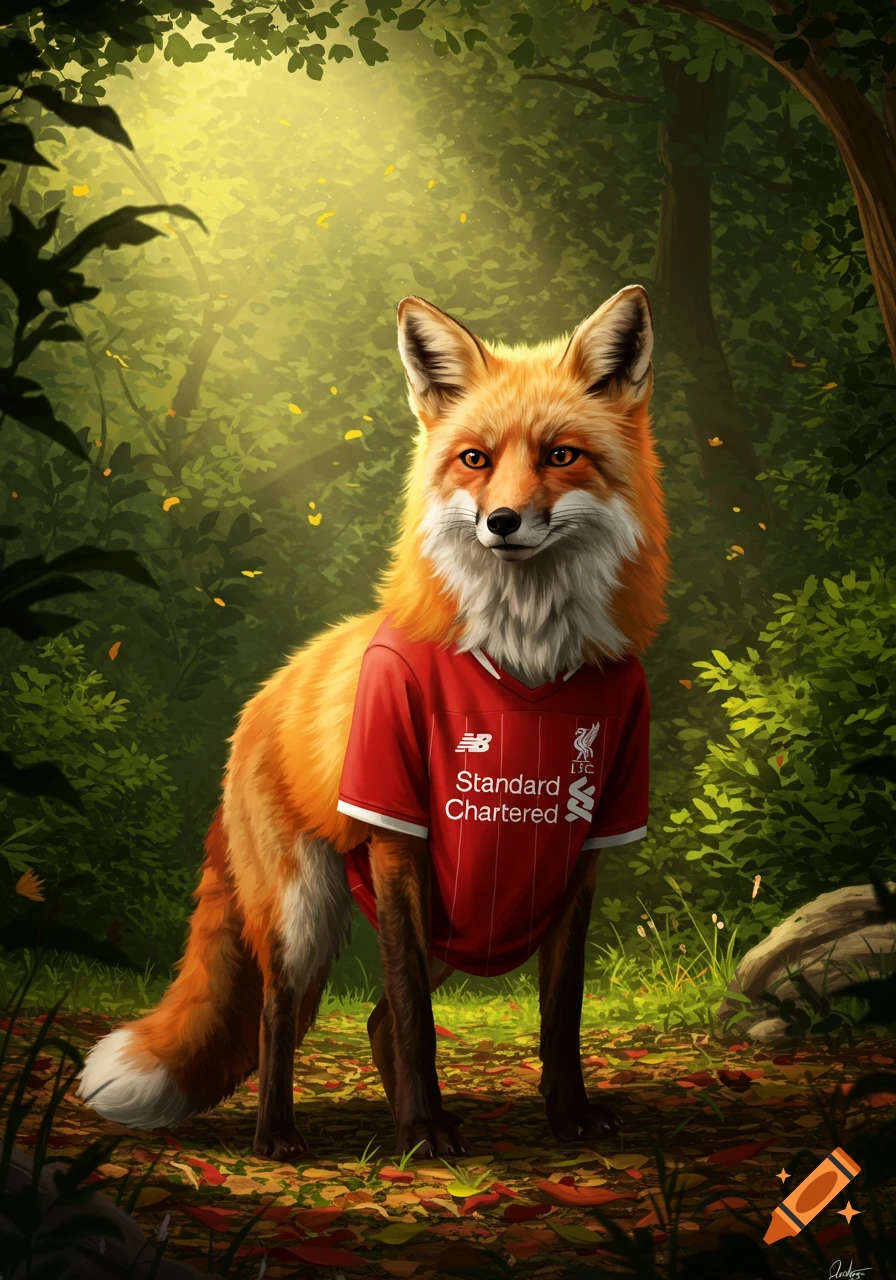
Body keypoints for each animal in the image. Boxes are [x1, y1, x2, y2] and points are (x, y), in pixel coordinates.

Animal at [77, 285, 670, 1162]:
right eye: (474, 459)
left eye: (561, 456)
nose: (502, 521)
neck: (526, 658)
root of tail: (261, 697)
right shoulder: (400, 832)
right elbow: (416, 1012)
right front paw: (419, 1128)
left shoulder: (584, 845)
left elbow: (558, 1012)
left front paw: (568, 1118)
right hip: (307, 914)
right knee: (284, 1019)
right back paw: (282, 1134)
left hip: (467, 922)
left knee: (376, 1022)